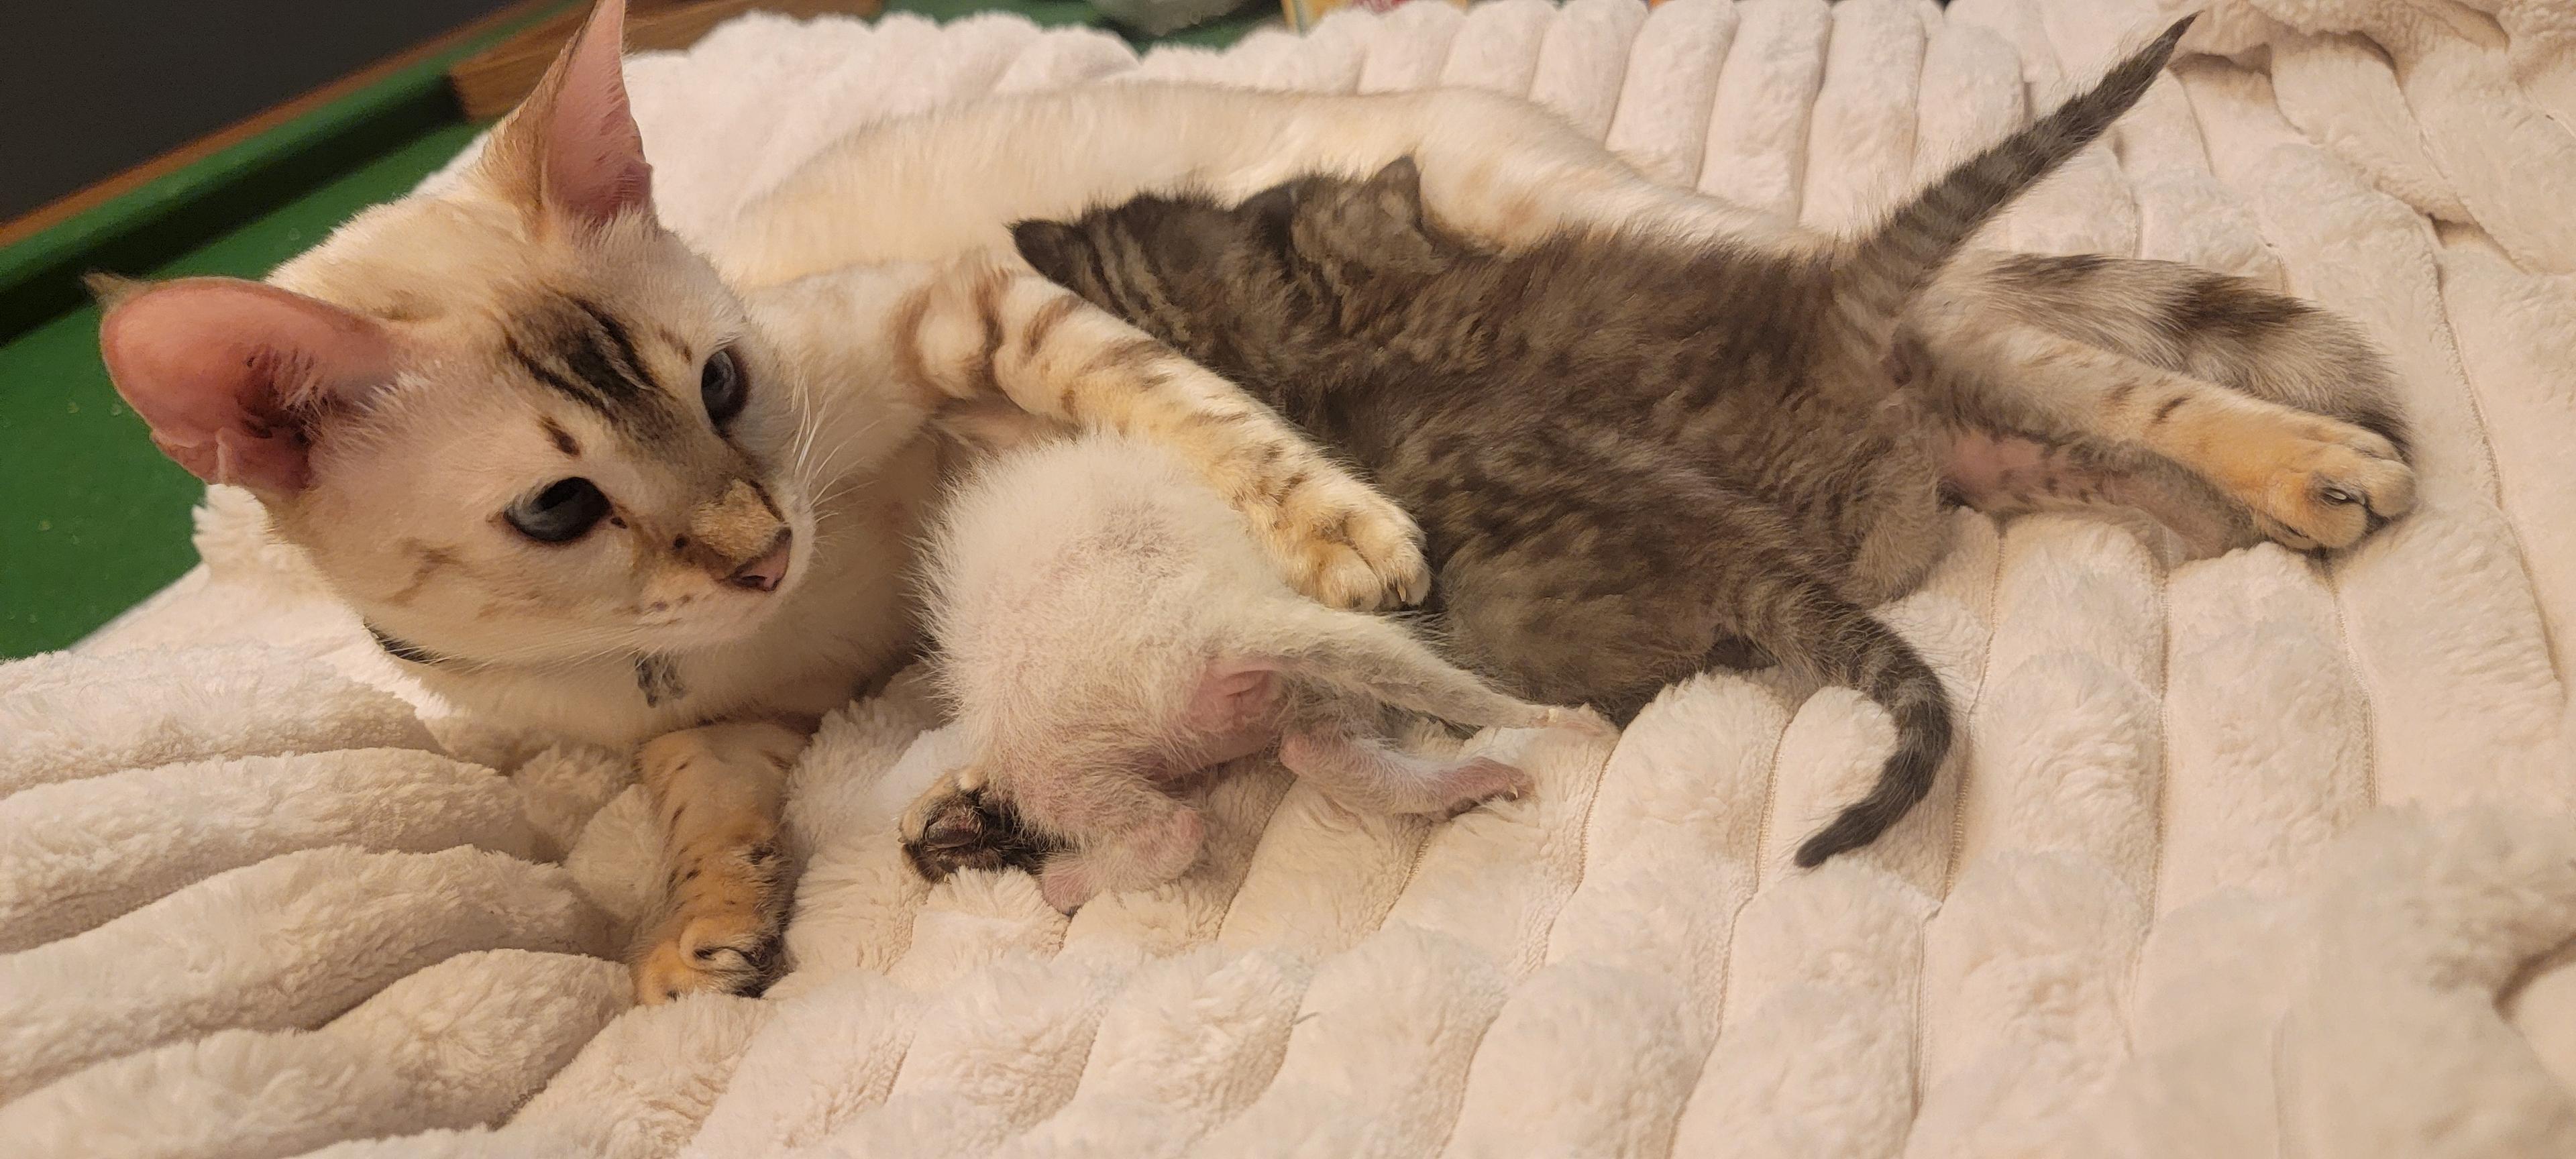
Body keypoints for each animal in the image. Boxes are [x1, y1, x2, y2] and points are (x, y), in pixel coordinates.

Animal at [91, 0, 2400, 994]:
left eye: (727, 383)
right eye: (564, 517)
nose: (756, 537)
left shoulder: (952, 315)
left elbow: (1166, 401)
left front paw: (1337, 526)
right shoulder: (710, 709)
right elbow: (695, 804)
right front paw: (704, 924)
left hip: (1604, 223)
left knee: (2030, 344)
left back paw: (2295, 460)